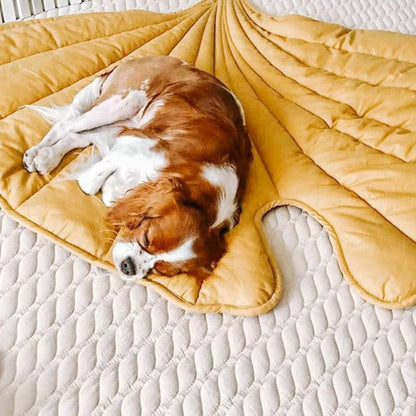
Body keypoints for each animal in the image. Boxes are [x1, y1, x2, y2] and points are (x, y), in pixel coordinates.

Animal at [24, 55, 252, 282]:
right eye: (146, 238)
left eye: (161, 270)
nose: (129, 267)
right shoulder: (136, 144)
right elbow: (91, 184)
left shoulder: (129, 139)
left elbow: (109, 190)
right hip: (122, 103)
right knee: (66, 126)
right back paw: (36, 154)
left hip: (123, 123)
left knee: (76, 136)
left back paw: (47, 158)